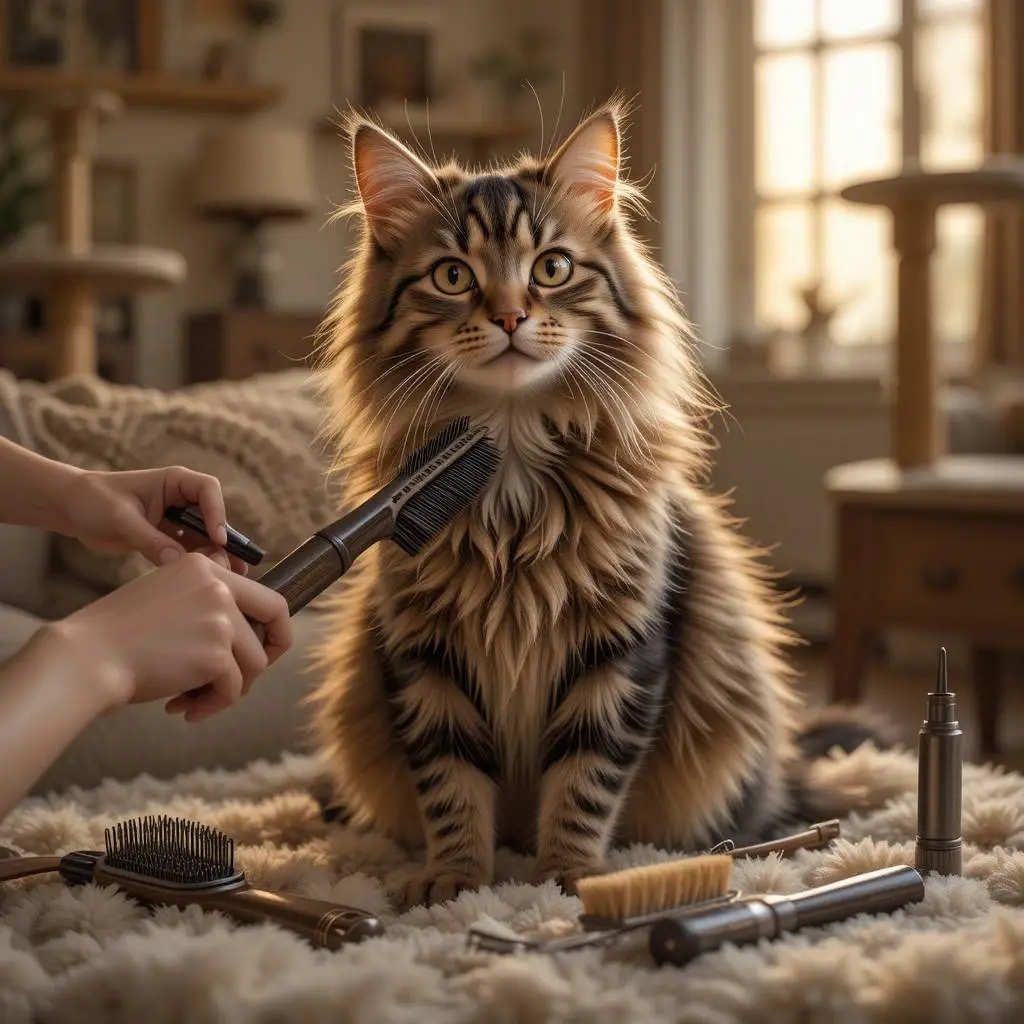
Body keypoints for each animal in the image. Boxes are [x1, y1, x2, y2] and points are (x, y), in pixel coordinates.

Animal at [305, 99, 888, 909]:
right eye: (453, 276)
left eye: (551, 268)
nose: (510, 316)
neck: (508, 467)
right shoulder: (424, 655)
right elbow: (451, 788)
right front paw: (456, 884)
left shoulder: (619, 648)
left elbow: (585, 781)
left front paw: (567, 882)